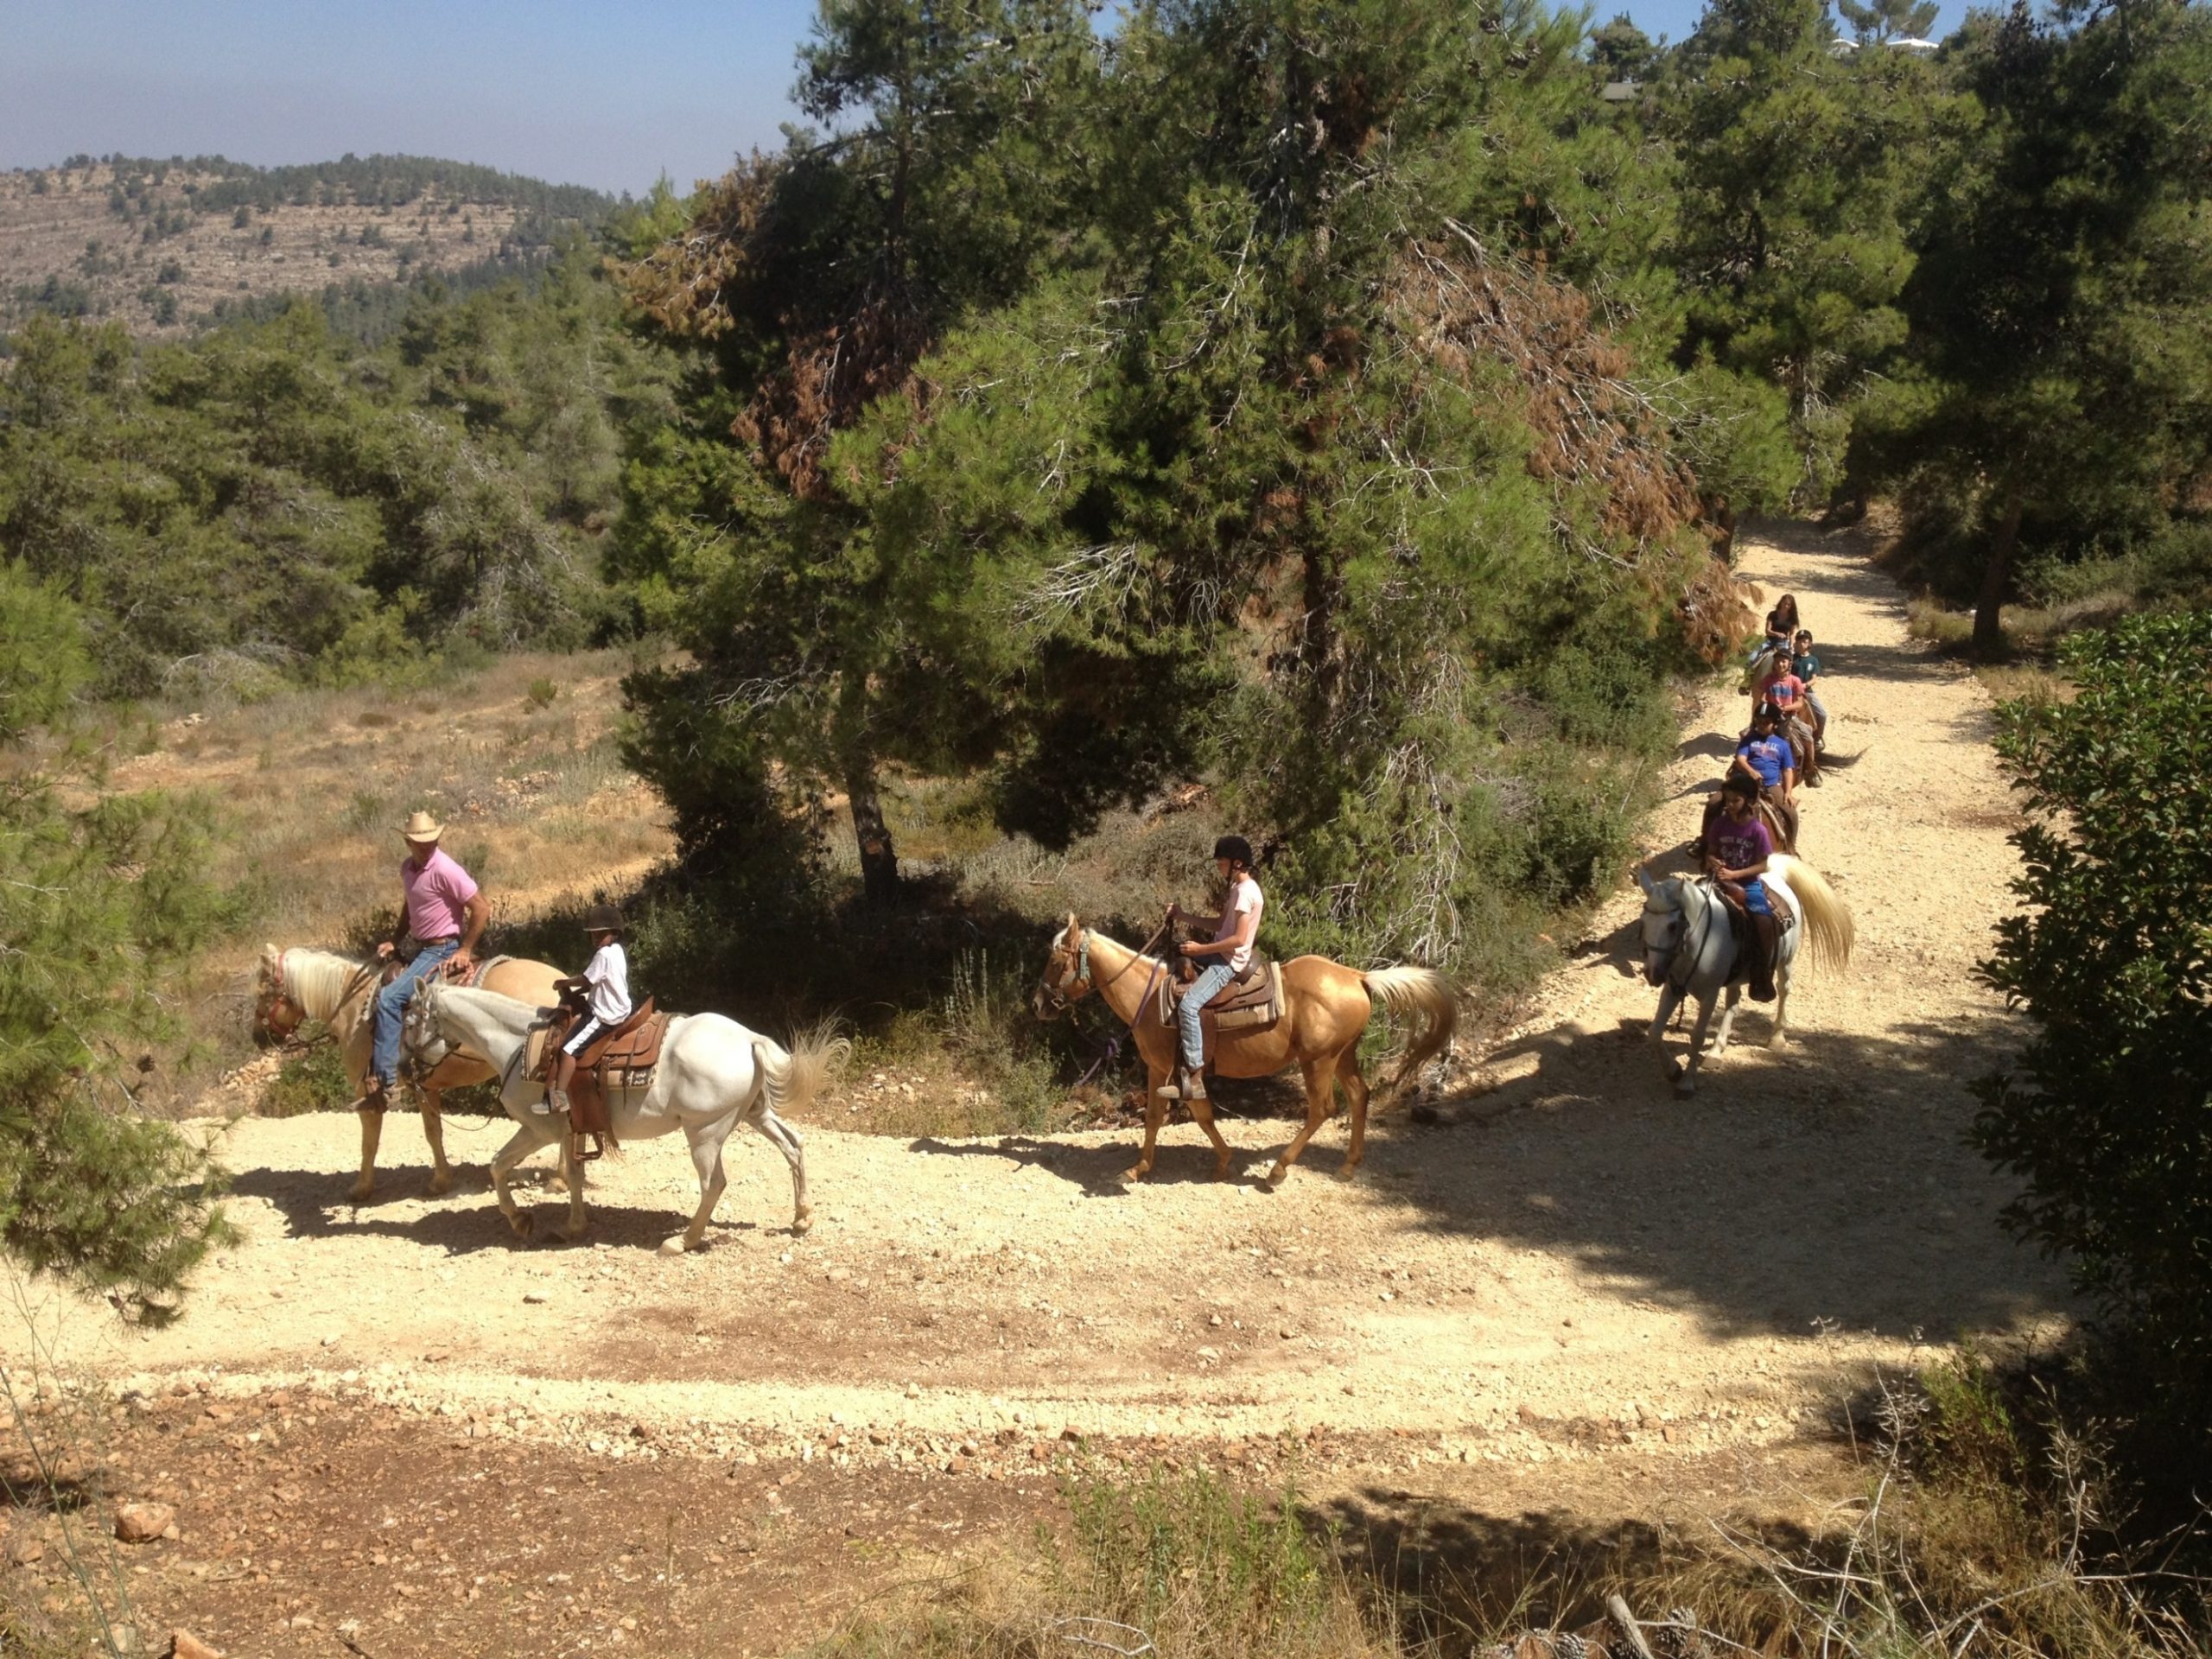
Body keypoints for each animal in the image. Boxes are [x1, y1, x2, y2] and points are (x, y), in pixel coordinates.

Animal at [249, 942, 570, 1203]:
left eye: (263, 993)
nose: (259, 1038)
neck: (353, 1008)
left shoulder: (367, 1092)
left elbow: (369, 1142)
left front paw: (361, 1188)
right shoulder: (424, 1086)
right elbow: (433, 1132)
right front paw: (441, 1181)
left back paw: (559, 1179)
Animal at [402, 982, 840, 1256]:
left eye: (407, 1021)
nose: (405, 1071)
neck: (517, 1046)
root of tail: (749, 1038)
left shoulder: (538, 1129)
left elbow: (500, 1167)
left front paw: (521, 1220)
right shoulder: (570, 1131)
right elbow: (571, 1176)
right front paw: (571, 1226)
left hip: (705, 1132)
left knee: (713, 1184)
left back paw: (683, 1241)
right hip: (755, 1114)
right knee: (794, 1145)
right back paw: (802, 1218)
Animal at [1030, 915, 1459, 1185]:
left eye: (1055, 961)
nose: (1037, 1004)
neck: (1150, 998)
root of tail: (1358, 976)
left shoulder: (1163, 1068)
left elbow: (1158, 1116)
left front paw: (1138, 1169)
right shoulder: (1181, 1072)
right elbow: (1199, 1115)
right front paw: (1221, 1163)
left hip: (1317, 1061)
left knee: (1322, 1109)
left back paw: (1278, 1171)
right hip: (1343, 1055)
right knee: (1359, 1096)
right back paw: (1348, 1166)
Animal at [1637, 858, 1858, 1106]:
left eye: (1673, 925)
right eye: (1644, 922)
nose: (1653, 974)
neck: (1696, 943)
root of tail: (1776, 875)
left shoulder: (1709, 994)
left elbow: (1697, 1036)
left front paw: (1686, 1083)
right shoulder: (1673, 988)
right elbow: (1655, 1032)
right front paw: (1673, 1071)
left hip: (1786, 961)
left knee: (1784, 991)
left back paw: (1777, 1037)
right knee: (1733, 1003)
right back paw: (1716, 1051)